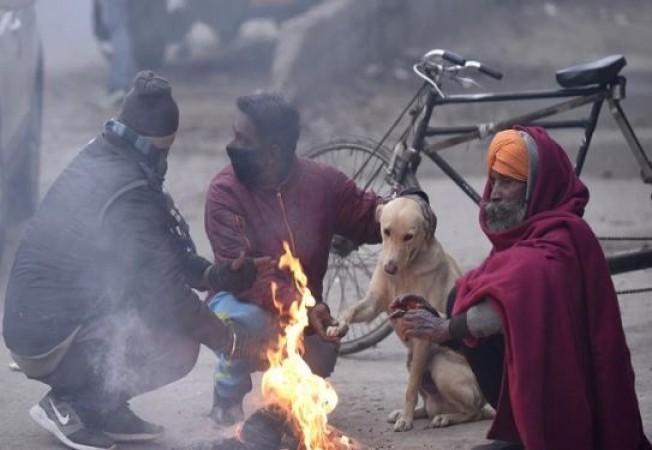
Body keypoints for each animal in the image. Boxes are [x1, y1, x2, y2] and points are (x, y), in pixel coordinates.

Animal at [328, 193, 492, 432]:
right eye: (386, 231)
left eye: (409, 237)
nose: (389, 268)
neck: (405, 269)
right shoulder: (373, 304)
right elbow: (352, 309)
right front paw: (338, 325)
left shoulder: (422, 333)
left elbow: (411, 388)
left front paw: (406, 420)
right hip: (411, 359)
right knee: (430, 405)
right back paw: (420, 412)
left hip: (440, 365)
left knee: (473, 411)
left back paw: (445, 417)